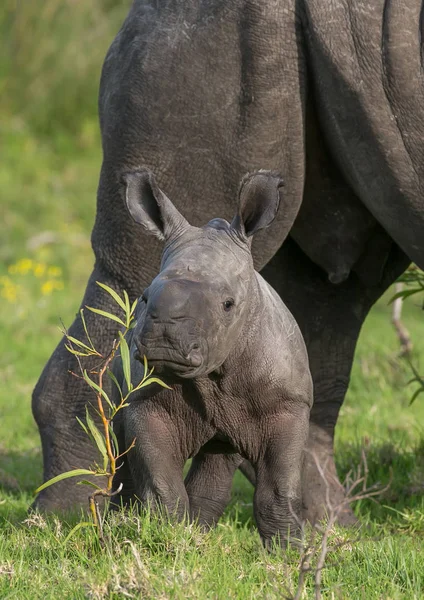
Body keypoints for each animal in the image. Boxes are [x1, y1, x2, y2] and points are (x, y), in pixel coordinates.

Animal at [111, 169, 314, 548]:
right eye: (144, 297)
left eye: (228, 305)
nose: (164, 338)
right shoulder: (144, 403)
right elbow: (161, 486)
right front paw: (170, 541)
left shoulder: (288, 404)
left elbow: (278, 489)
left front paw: (290, 553)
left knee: (220, 453)